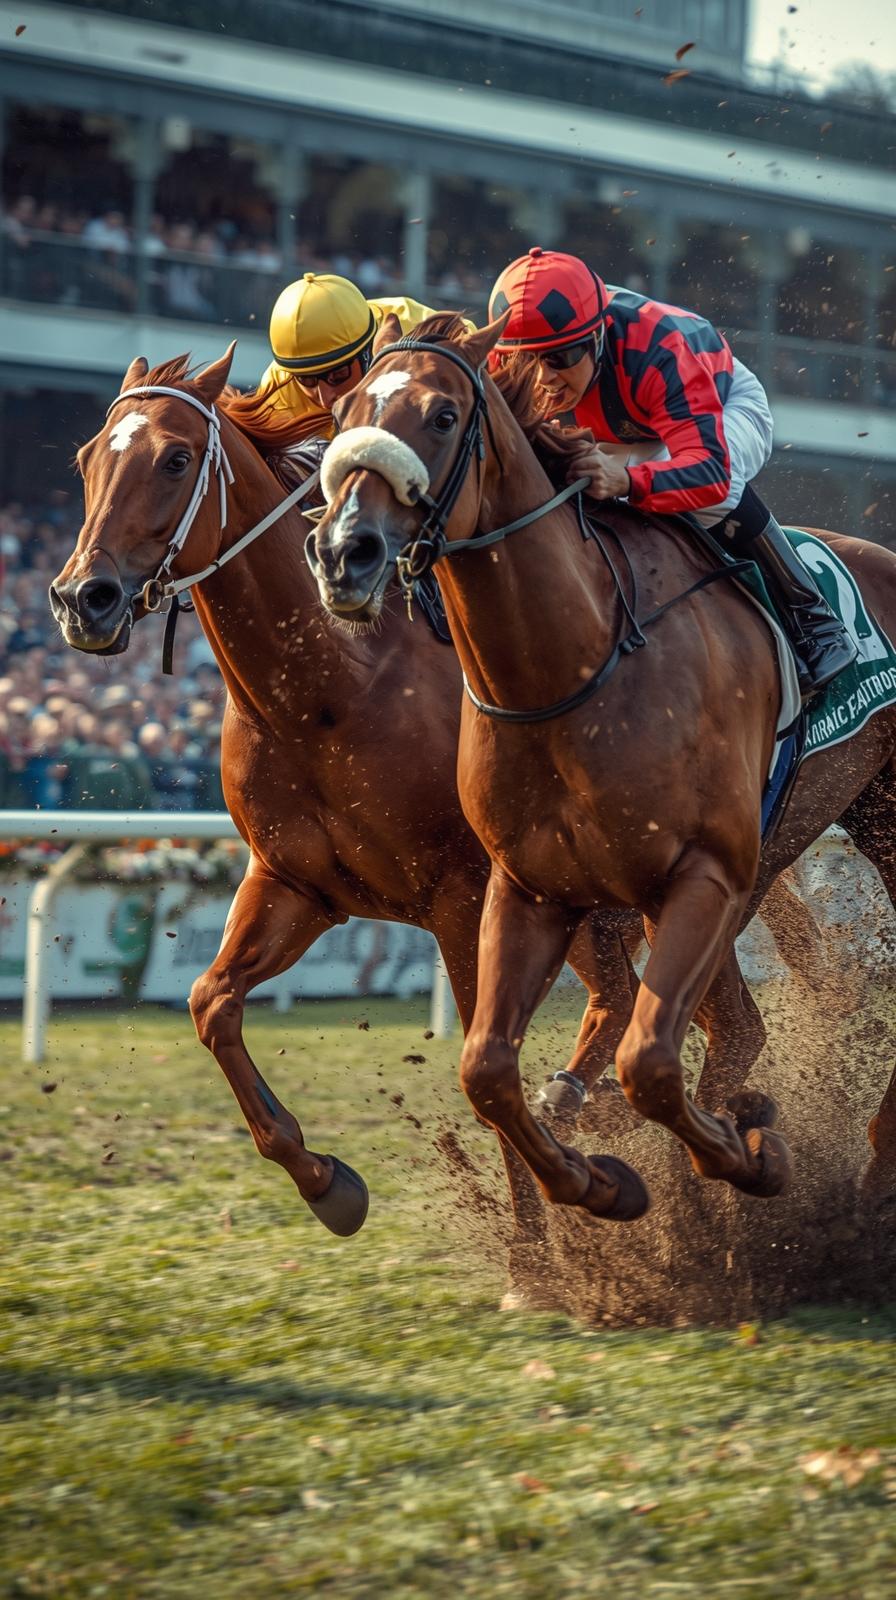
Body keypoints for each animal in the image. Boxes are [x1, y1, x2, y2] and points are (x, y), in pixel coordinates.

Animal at [46, 344, 815, 1242]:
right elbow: (212, 1004)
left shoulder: (464, 894)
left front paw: (539, 1239)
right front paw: (328, 1182)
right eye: (85, 461)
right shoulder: (295, 882)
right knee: (641, 1006)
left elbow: (487, 1061)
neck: (331, 689)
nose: (81, 599)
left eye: (173, 459)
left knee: (679, 1013)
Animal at [308, 311, 896, 1218]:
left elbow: (650, 1064)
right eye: (342, 418)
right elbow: (487, 1071)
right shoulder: (530, 887)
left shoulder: (703, 874)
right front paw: (599, 1183)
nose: (346, 554)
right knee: (735, 1027)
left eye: (443, 415)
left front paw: (748, 1158)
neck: (573, 669)